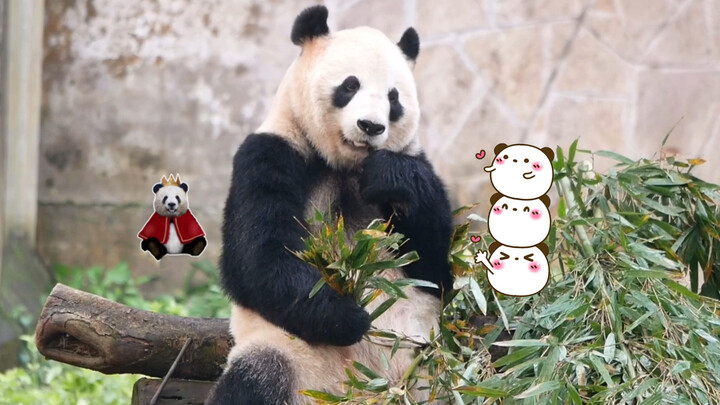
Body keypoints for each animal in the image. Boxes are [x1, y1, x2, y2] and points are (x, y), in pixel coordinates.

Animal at [208, 6, 452, 404]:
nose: (370, 126)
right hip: (292, 357)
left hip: (432, 368)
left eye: (394, 98)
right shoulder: (272, 153)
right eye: (350, 85)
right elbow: (257, 257)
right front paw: (349, 317)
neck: (345, 165)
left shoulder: (416, 161)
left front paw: (389, 177)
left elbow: (434, 265)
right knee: (256, 377)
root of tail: (364, 390)